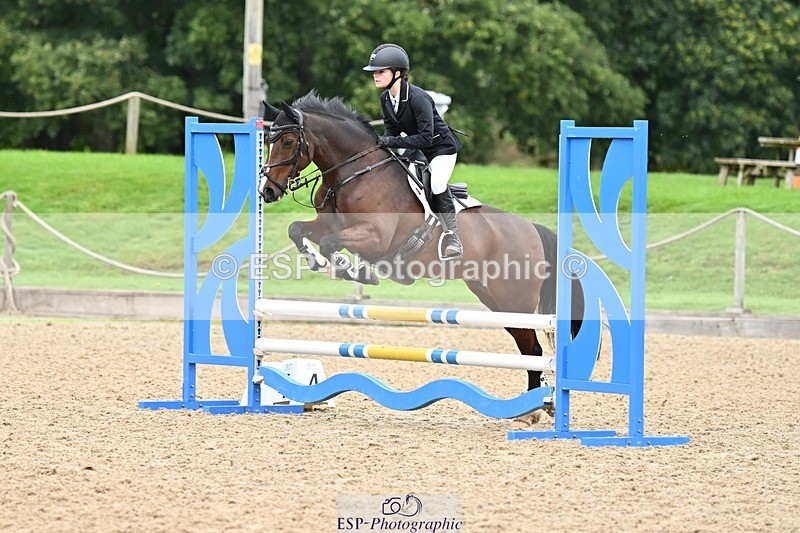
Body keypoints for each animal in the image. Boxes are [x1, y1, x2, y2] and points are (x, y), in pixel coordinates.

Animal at [258, 92, 583, 416]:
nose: (267, 191)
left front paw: (351, 269)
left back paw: (535, 408)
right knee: (528, 348)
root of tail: (532, 229)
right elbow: (297, 230)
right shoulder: (328, 224)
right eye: (268, 141)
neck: (351, 173)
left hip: (516, 300)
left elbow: (330, 243)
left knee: (535, 350)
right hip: (495, 300)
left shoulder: (376, 236)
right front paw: (316, 260)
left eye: (288, 141)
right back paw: (534, 408)